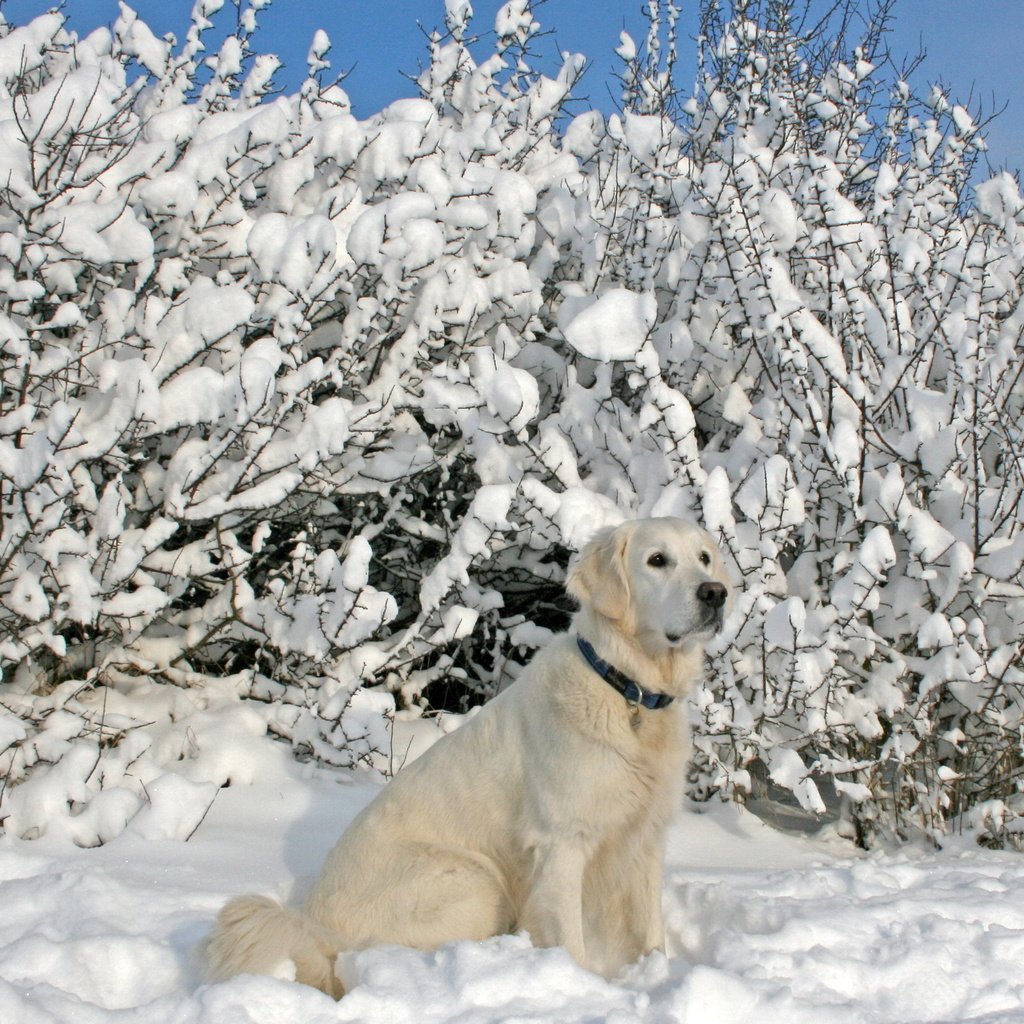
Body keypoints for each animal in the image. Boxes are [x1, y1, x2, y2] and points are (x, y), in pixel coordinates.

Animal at [205, 516, 729, 995]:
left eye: (703, 558)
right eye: (657, 560)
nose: (716, 593)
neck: (629, 690)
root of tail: (317, 931)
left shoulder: (645, 838)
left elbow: (651, 932)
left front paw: (656, 973)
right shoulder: (561, 842)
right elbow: (569, 938)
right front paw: (586, 987)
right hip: (474, 879)